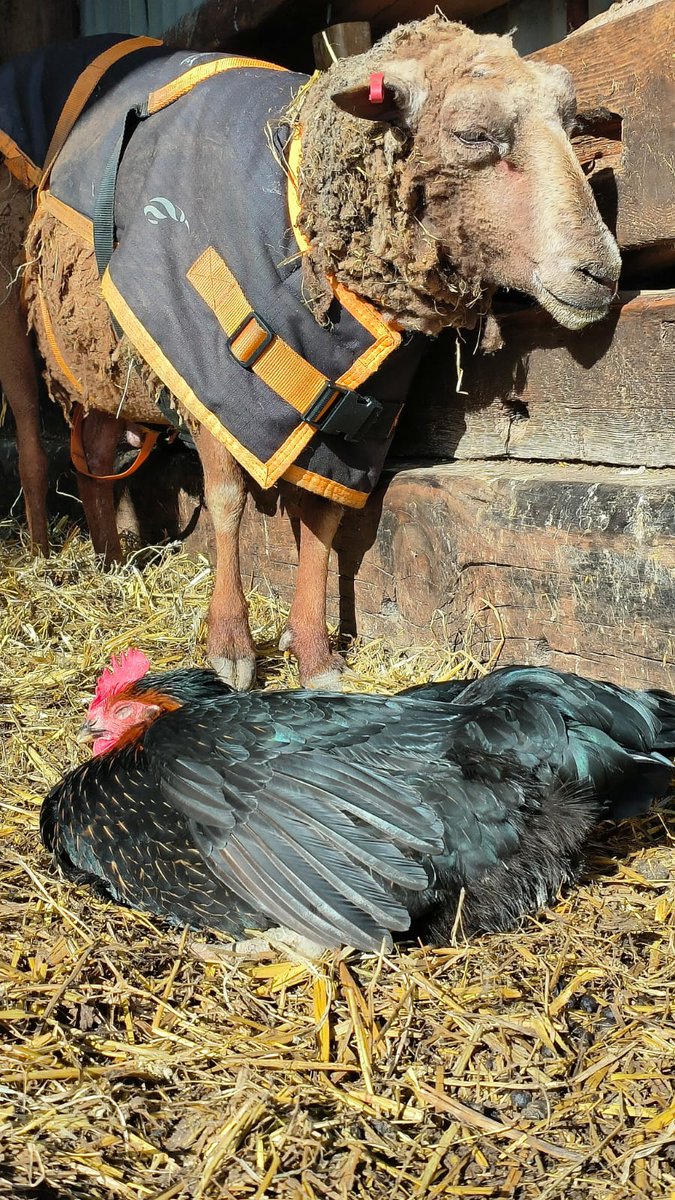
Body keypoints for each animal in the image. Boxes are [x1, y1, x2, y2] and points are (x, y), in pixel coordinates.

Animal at [2, 18, 619, 691]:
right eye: (472, 134)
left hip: (98, 359)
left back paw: (110, 563)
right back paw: (40, 554)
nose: (602, 272)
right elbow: (226, 500)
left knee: (94, 451)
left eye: (572, 126)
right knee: (33, 443)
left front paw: (315, 654)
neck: (300, 208)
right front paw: (231, 645)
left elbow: (324, 519)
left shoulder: (358, 420)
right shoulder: (204, 363)